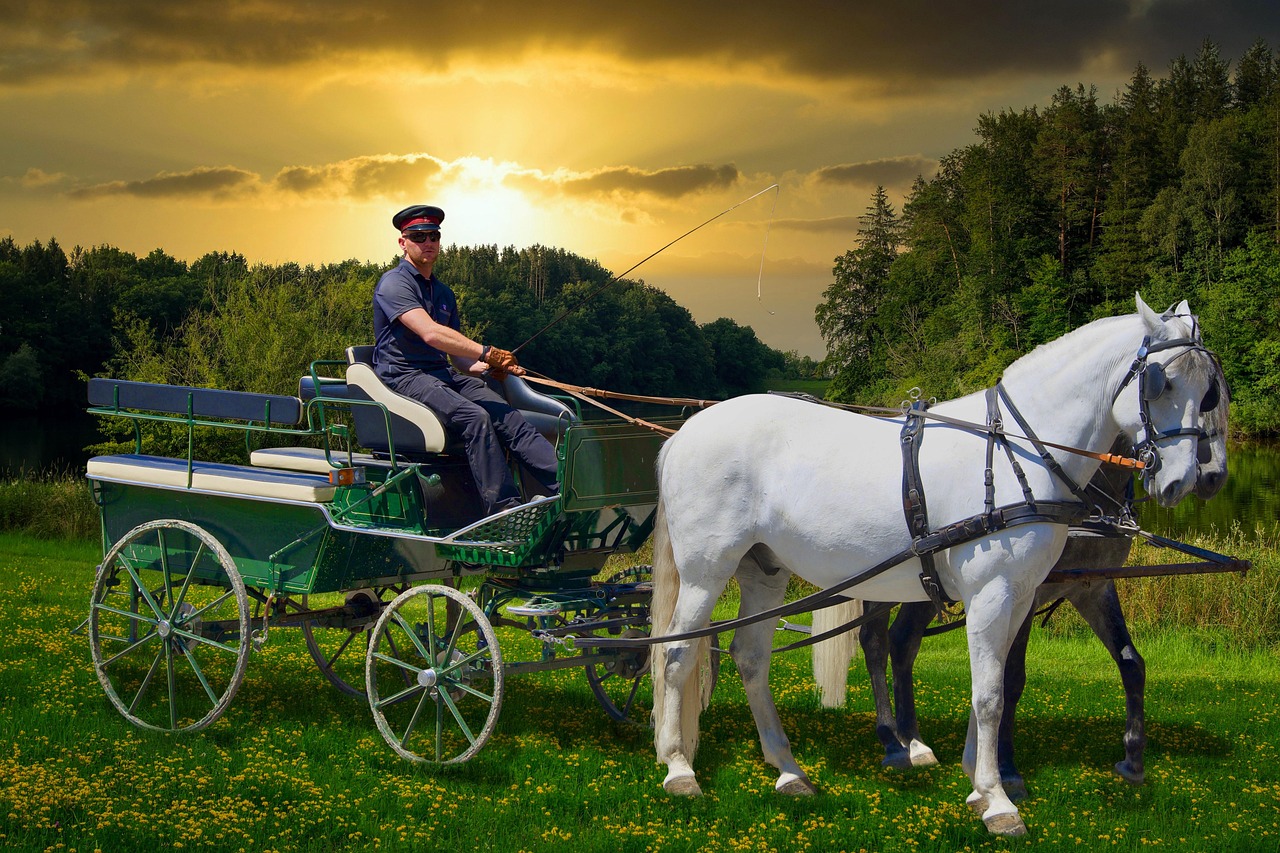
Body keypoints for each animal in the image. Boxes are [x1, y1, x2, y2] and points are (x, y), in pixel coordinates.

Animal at [810, 372, 1228, 795]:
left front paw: (1133, 757)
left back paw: (914, 741)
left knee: (903, 641)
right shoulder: (1021, 590)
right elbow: (1011, 678)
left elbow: (1131, 663)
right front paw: (1006, 769)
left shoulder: (1092, 588)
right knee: (875, 643)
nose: (1213, 476)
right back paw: (892, 740)